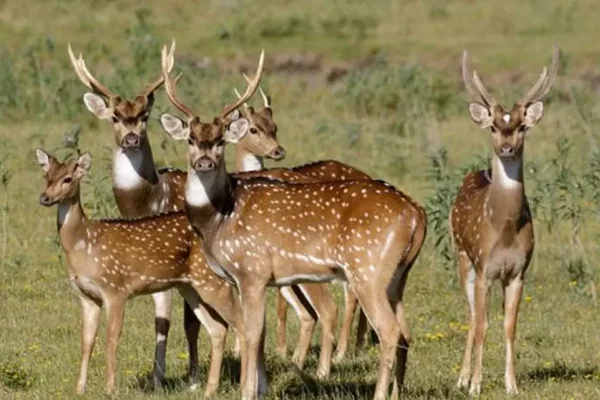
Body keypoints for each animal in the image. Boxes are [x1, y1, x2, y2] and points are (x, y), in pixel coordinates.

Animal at [35, 148, 251, 396]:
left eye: (68, 179)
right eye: (46, 176)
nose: (44, 198)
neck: (85, 244)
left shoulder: (115, 289)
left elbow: (112, 339)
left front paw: (110, 389)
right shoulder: (86, 296)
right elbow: (86, 341)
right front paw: (79, 389)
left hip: (213, 282)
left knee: (241, 325)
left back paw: (243, 386)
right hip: (191, 286)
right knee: (218, 328)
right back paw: (208, 390)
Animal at [67, 41, 286, 388]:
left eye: (144, 115)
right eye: (115, 116)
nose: (131, 139)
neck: (151, 199)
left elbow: (187, 322)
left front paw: (192, 377)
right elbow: (162, 320)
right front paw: (160, 377)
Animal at [156, 43, 426, 400]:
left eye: (220, 140)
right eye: (190, 139)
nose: (204, 162)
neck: (219, 218)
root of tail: (417, 214)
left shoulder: (252, 270)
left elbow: (251, 332)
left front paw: (247, 391)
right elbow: (259, 333)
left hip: (368, 269)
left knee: (390, 331)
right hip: (397, 276)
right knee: (406, 331)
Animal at [452, 45, 560, 396]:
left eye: (522, 126)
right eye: (493, 127)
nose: (507, 147)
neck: (505, 229)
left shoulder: (518, 272)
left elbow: (509, 326)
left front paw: (511, 385)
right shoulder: (485, 268)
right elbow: (483, 325)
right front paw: (475, 385)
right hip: (463, 257)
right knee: (472, 315)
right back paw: (461, 378)